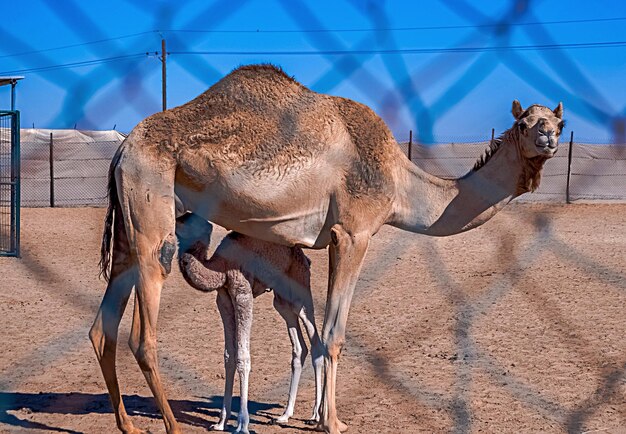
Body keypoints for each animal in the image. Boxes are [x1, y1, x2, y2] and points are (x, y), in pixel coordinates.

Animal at [174, 214, 322, 434]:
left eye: (188, 220)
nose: (174, 221)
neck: (220, 267)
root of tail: (304, 256)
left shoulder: (242, 293)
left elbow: (243, 357)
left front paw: (242, 425)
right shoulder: (223, 299)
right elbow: (229, 356)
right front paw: (220, 423)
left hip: (300, 286)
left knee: (316, 340)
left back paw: (315, 416)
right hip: (281, 300)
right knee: (299, 347)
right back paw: (284, 415)